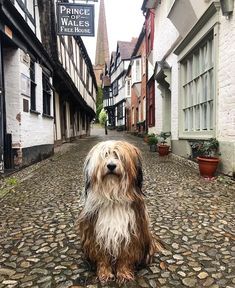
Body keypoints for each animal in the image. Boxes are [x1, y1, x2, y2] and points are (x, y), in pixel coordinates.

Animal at [78, 141, 162, 282]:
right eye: (105, 155)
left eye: (119, 156)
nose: (111, 165)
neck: (113, 198)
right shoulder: (97, 233)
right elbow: (102, 256)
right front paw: (104, 273)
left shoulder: (131, 233)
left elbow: (125, 257)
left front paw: (123, 273)